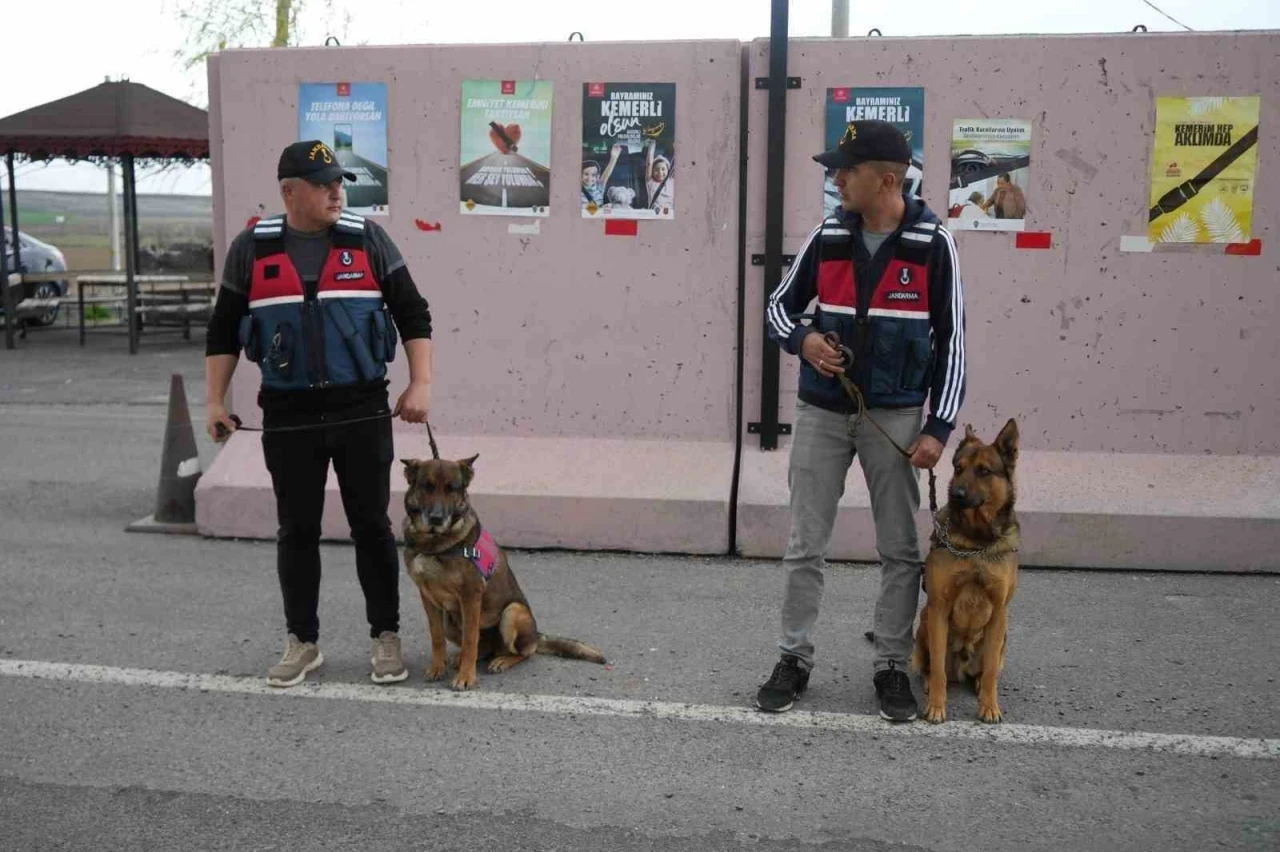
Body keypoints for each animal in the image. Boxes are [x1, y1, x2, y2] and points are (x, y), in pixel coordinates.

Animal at [911, 414, 1018, 721]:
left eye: (984, 471)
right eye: (958, 468)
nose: (956, 494)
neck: (974, 542)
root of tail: (962, 665)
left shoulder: (999, 612)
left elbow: (992, 668)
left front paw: (989, 706)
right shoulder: (939, 607)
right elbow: (937, 670)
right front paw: (936, 706)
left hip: (1003, 632)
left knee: (986, 669)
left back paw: (980, 683)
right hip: (925, 621)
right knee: (932, 667)